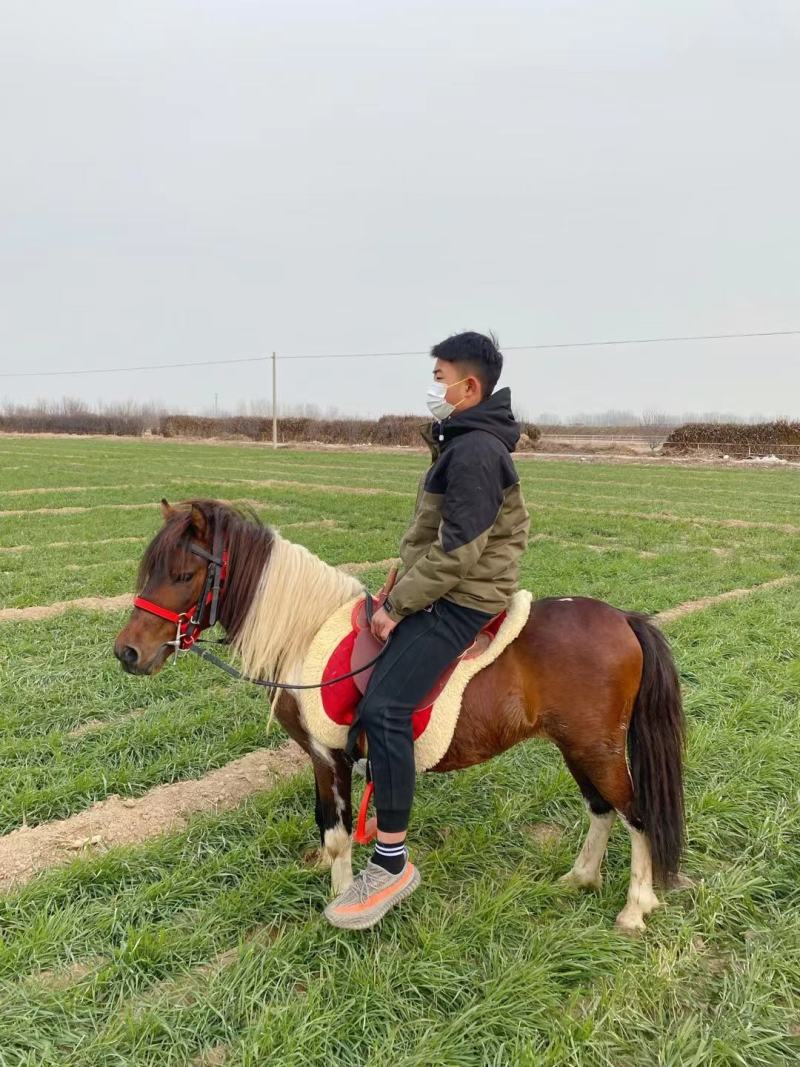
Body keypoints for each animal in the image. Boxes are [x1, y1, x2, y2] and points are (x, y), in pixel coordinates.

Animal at [114, 498, 686, 933]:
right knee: (601, 809)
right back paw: (581, 878)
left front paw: (343, 900)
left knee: (637, 815)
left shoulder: (331, 756)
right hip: (576, 745)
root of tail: (625, 619)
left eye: (184, 574)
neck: (306, 635)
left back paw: (634, 909)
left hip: (597, 747)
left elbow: (339, 835)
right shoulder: (321, 760)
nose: (127, 653)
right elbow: (327, 827)